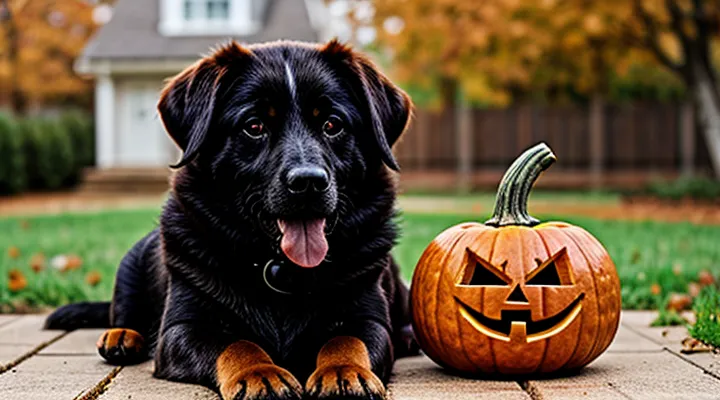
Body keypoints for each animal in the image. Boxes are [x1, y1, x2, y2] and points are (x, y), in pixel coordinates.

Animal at [45, 39, 414, 400]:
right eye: (254, 126)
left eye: (333, 124)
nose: (308, 181)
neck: (280, 266)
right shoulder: (184, 328)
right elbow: (237, 343)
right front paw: (260, 373)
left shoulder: (368, 317)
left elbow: (347, 339)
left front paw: (343, 370)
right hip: (130, 266)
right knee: (125, 310)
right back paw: (121, 335)